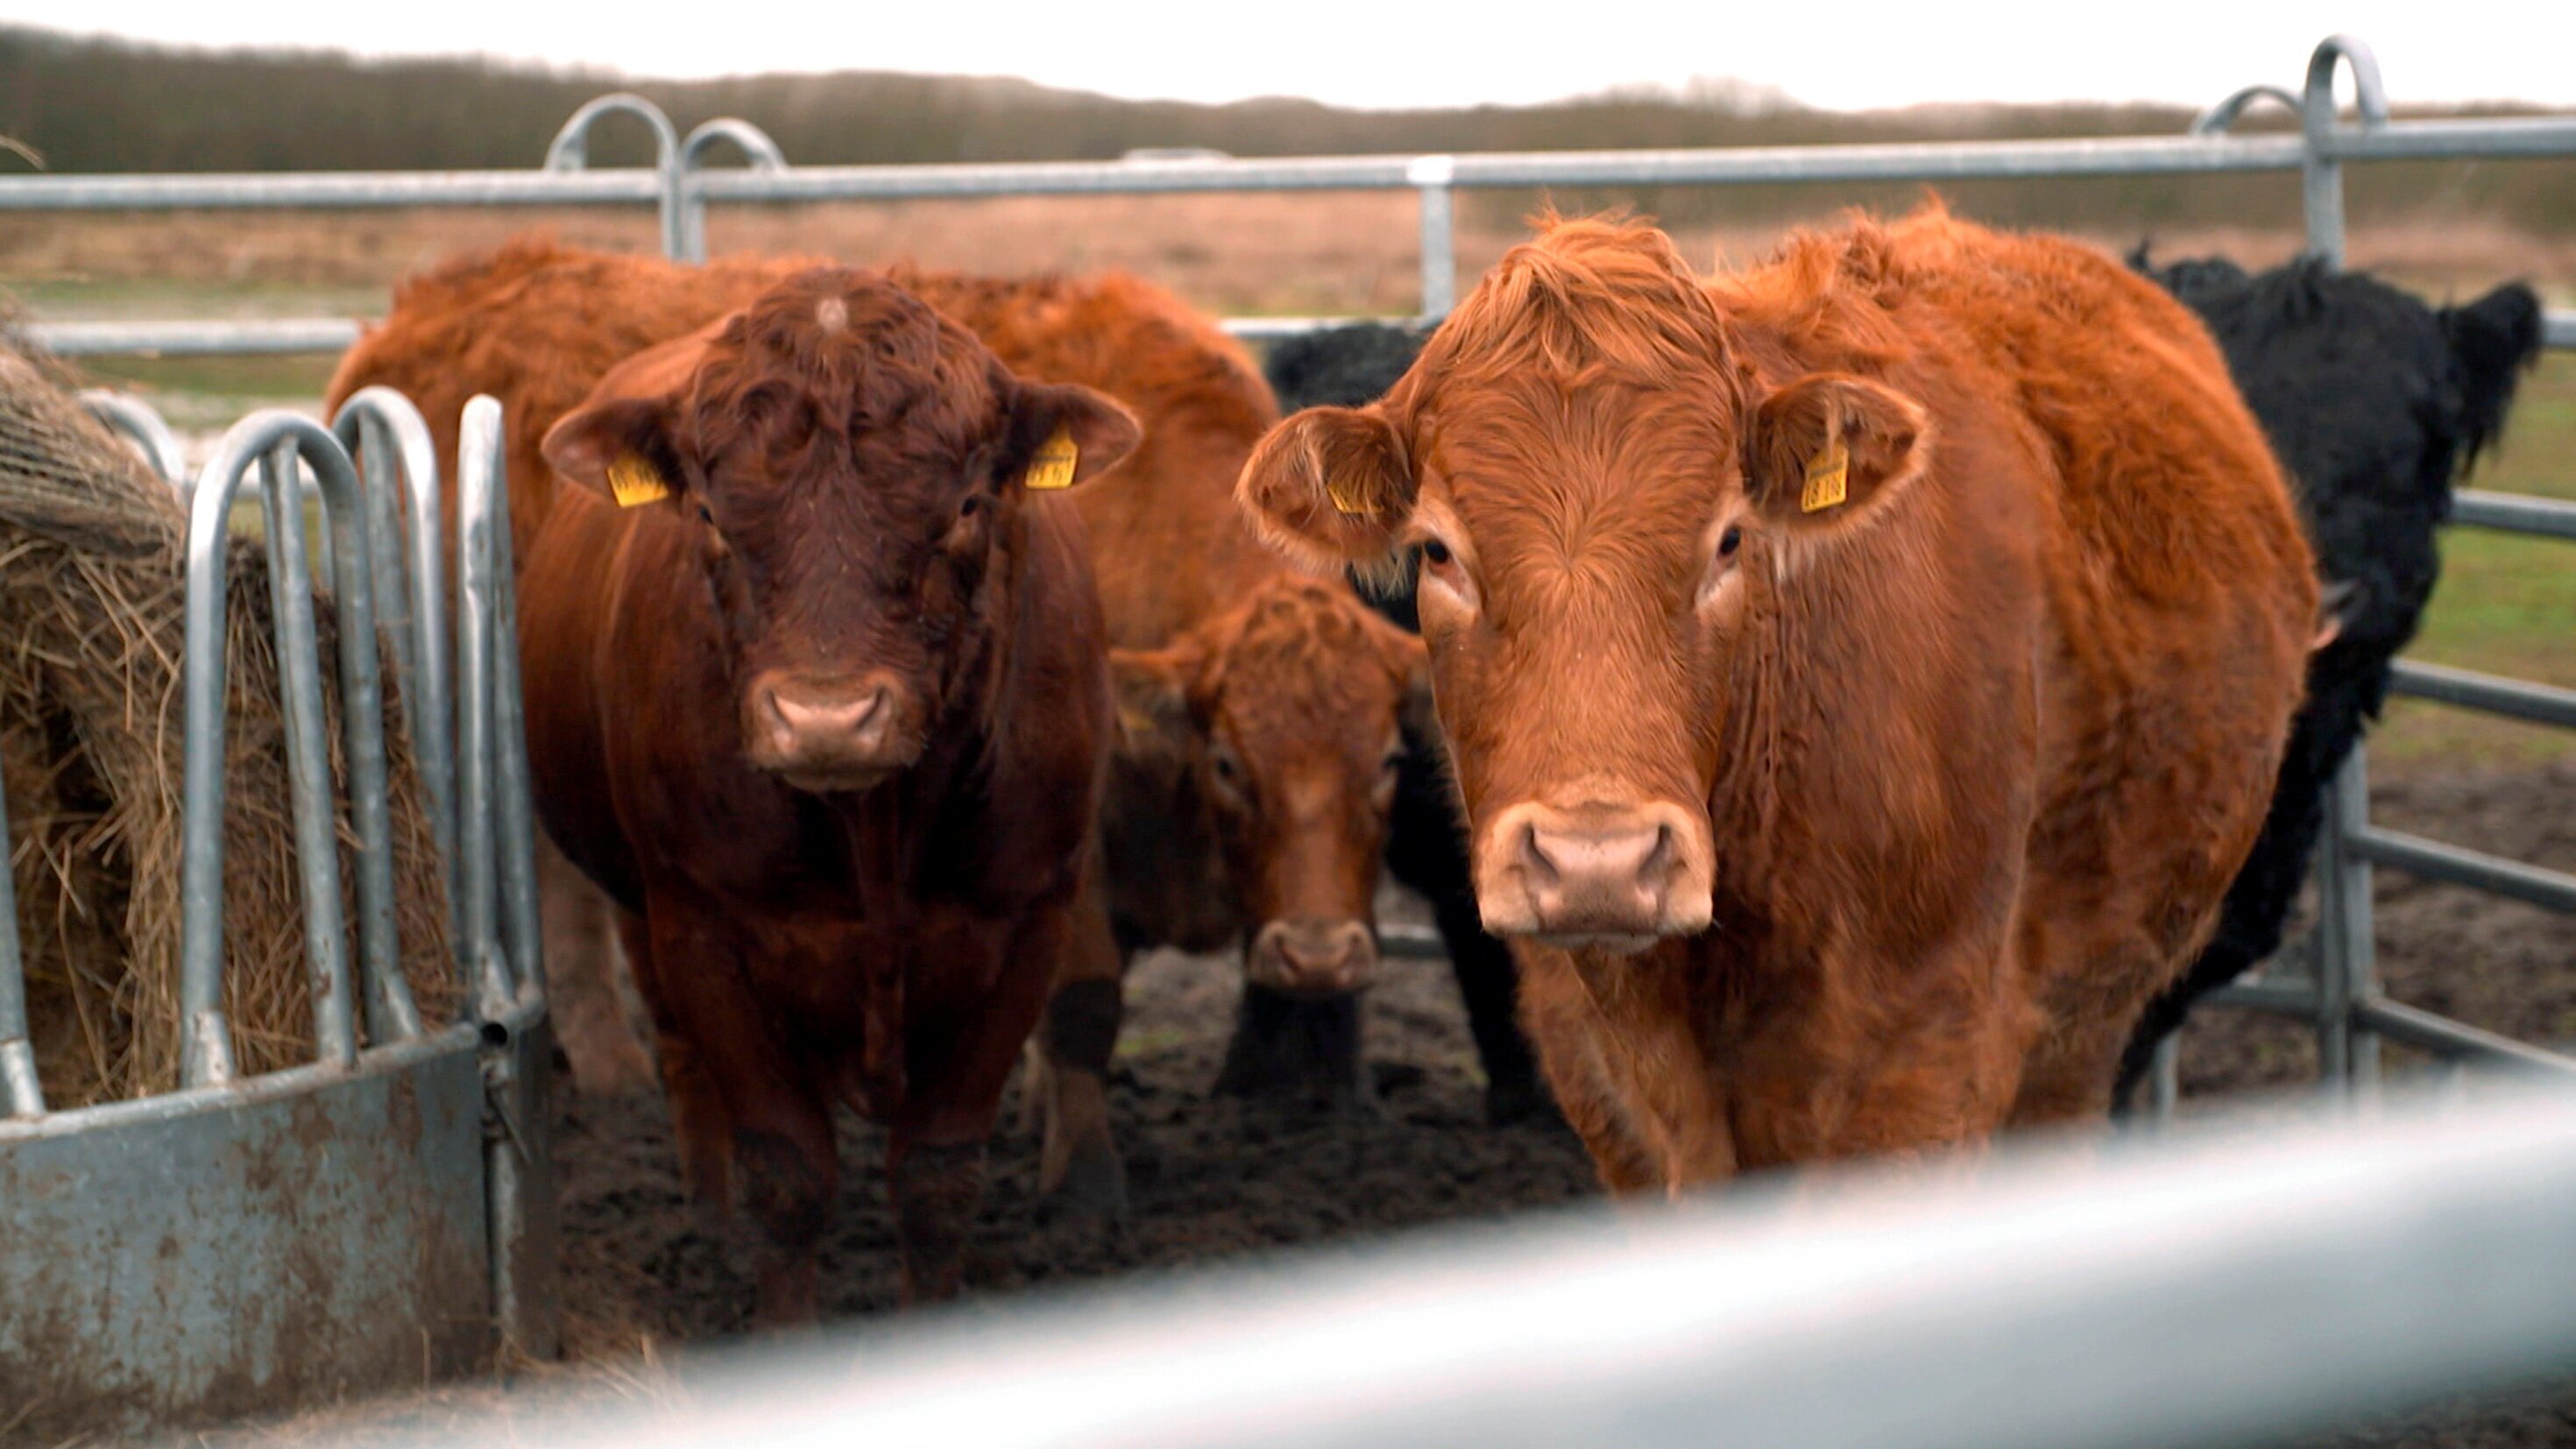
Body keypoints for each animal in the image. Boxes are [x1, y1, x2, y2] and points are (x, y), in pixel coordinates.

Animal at [513, 266, 1138, 1318]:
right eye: (710, 515)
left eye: (968, 503)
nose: (826, 719)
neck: (876, 825)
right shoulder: (705, 926)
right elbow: (787, 1170)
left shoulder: (1027, 920)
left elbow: (937, 1175)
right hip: (642, 903)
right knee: (680, 1054)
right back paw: (708, 1224)